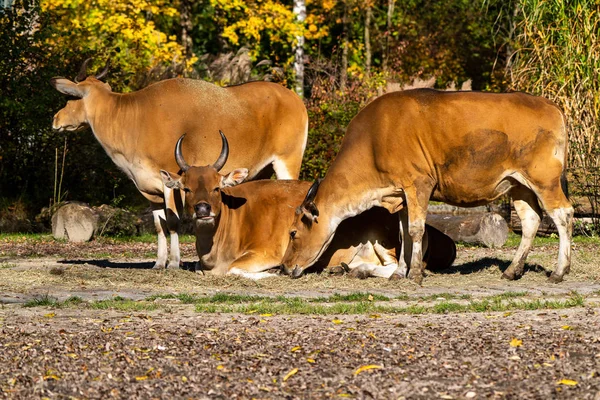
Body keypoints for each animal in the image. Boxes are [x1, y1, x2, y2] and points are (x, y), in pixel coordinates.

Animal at [49, 58, 308, 268]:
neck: (132, 117)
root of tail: (295, 99)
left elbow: (173, 221)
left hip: (287, 162)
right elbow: (158, 224)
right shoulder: (150, 190)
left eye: (70, 97)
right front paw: (159, 263)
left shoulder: (171, 183)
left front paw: (174, 262)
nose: (55, 119)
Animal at [159, 134, 454, 278]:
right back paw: (342, 268)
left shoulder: (266, 253)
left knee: (393, 266)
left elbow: (232, 270)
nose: (203, 209)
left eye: (217, 187)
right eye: (186, 188)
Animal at [284, 90, 576, 284]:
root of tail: (551, 105)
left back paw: (559, 271)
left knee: (563, 214)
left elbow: (416, 230)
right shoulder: (401, 194)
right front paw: (399, 272)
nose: (285, 267)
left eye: (293, 232)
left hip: (545, 181)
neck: (374, 140)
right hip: (519, 185)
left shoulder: (419, 184)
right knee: (531, 220)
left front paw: (414, 274)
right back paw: (512, 271)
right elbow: (403, 233)